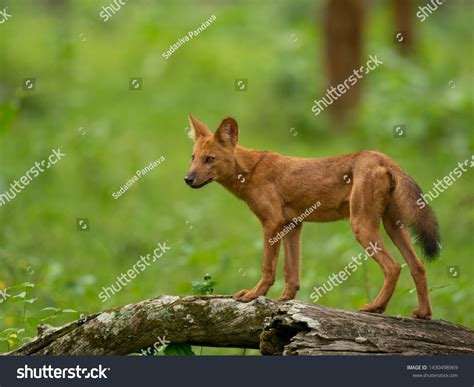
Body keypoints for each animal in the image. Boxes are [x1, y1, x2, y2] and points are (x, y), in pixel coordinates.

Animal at [184, 116, 440, 322]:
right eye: (193, 158)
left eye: (209, 159)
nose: (187, 179)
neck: (249, 171)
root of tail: (381, 156)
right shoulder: (293, 225)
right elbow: (291, 272)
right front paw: (284, 301)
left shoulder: (272, 223)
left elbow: (268, 267)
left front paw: (253, 295)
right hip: (393, 226)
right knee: (418, 266)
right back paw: (424, 314)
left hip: (361, 226)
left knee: (394, 266)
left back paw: (375, 307)